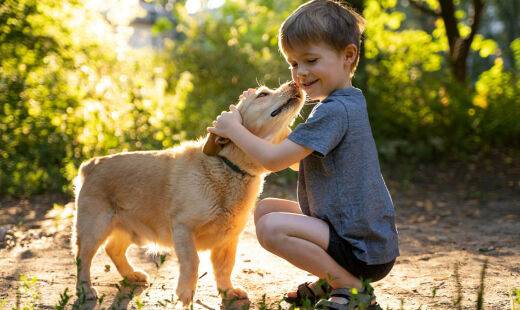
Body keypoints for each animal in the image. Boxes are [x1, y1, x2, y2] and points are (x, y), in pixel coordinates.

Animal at [72, 80, 304, 306]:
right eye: (263, 94)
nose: (295, 83)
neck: (228, 168)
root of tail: (91, 164)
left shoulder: (228, 239)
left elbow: (225, 268)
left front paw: (227, 291)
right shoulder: (183, 228)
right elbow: (193, 262)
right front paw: (185, 293)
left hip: (130, 229)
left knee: (114, 250)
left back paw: (131, 275)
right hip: (94, 229)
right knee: (83, 258)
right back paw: (85, 289)